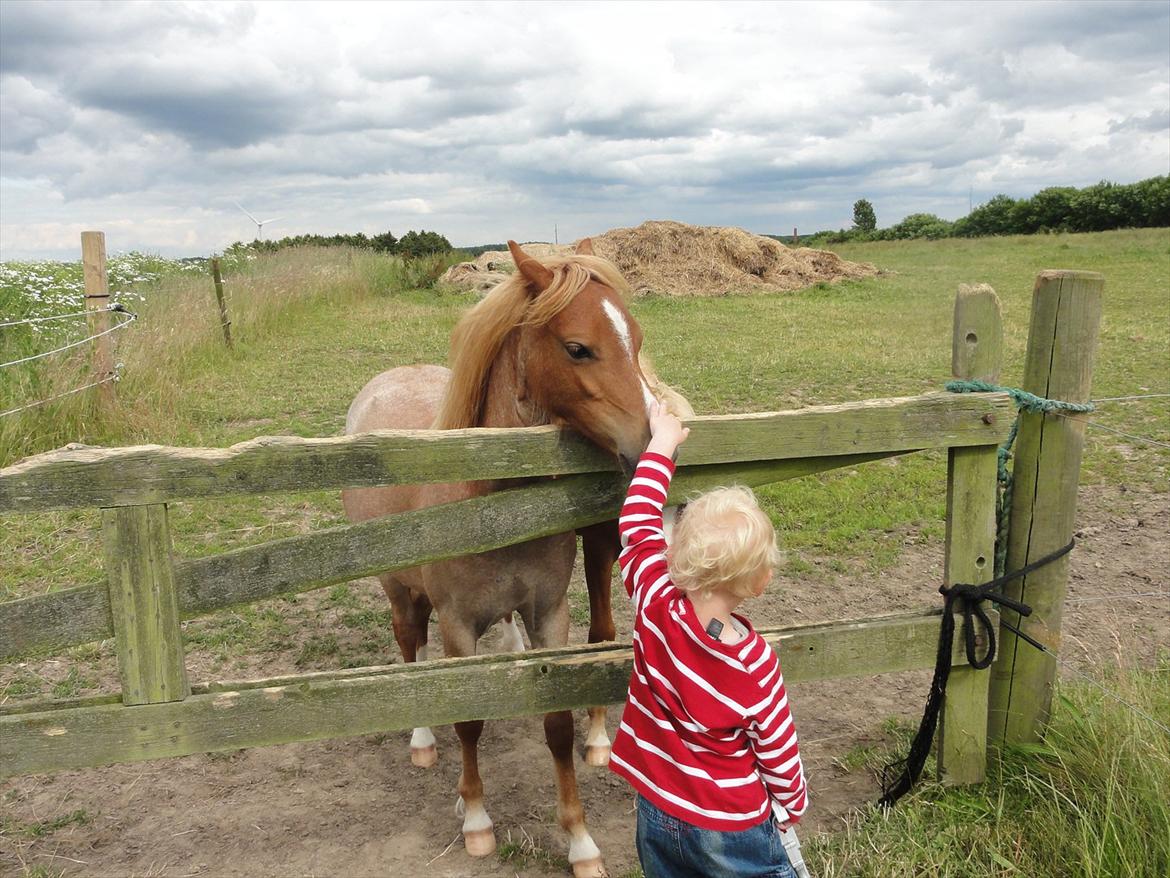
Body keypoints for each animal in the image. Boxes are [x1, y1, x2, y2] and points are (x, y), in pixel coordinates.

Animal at [341, 238, 664, 878]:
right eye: (578, 347)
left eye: (635, 340)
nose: (648, 444)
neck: (491, 495)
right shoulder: (458, 625)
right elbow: (468, 720)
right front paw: (475, 821)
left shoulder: (549, 614)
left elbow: (558, 724)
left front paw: (580, 841)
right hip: (399, 590)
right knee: (410, 646)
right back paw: (422, 741)